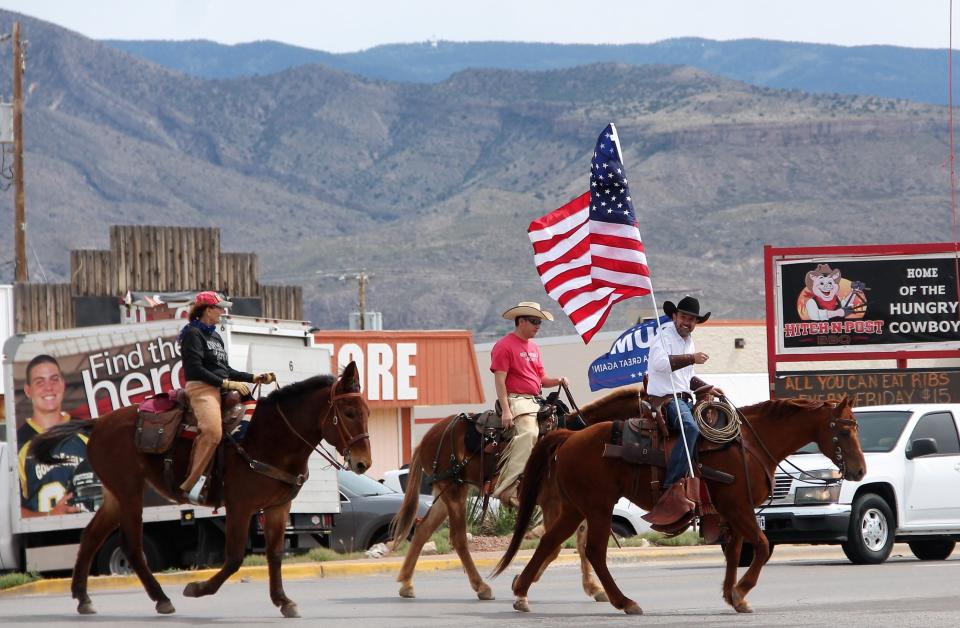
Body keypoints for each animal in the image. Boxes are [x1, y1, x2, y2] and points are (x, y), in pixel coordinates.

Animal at [31, 364, 372, 620]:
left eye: (367, 411)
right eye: (349, 412)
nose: (363, 462)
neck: (267, 440)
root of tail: (99, 422)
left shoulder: (278, 508)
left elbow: (275, 554)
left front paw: (283, 601)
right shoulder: (240, 507)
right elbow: (234, 558)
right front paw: (197, 589)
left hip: (115, 495)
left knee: (91, 536)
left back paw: (83, 597)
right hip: (129, 493)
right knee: (132, 547)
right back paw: (161, 598)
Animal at [390, 386, 644, 600]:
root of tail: (427, 437)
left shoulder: (577, 504)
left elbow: (578, 543)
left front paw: (593, 587)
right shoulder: (553, 502)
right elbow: (554, 545)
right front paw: (521, 581)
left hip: (447, 492)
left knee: (423, 530)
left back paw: (406, 583)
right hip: (455, 491)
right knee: (459, 539)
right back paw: (481, 587)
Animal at [498, 400, 868, 616]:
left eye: (856, 427)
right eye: (844, 429)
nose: (861, 471)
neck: (749, 445)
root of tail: (568, 436)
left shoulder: (733, 511)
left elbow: (735, 552)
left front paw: (733, 595)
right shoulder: (738, 507)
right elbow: (761, 547)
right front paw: (741, 590)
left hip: (576, 507)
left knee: (550, 542)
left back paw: (521, 593)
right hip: (598, 507)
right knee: (594, 552)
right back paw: (625, 601)